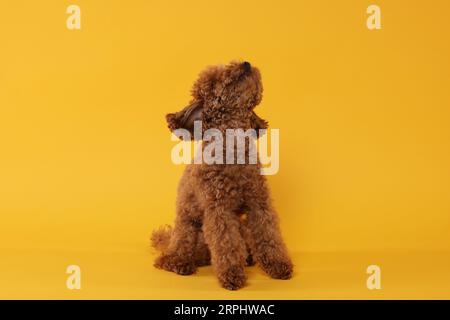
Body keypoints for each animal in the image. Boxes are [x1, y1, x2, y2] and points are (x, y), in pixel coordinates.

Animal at [151, 60, 294, 290]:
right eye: (214, 81)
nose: (246, 64)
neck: (234, 148)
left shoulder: (259, 204)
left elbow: (269, 235)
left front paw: (278, 265)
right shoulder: (219, 209)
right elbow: (226, 243)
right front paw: (231, 274)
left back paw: (248, 257)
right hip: (187, 225)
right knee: (175, 252)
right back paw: (179, 263)